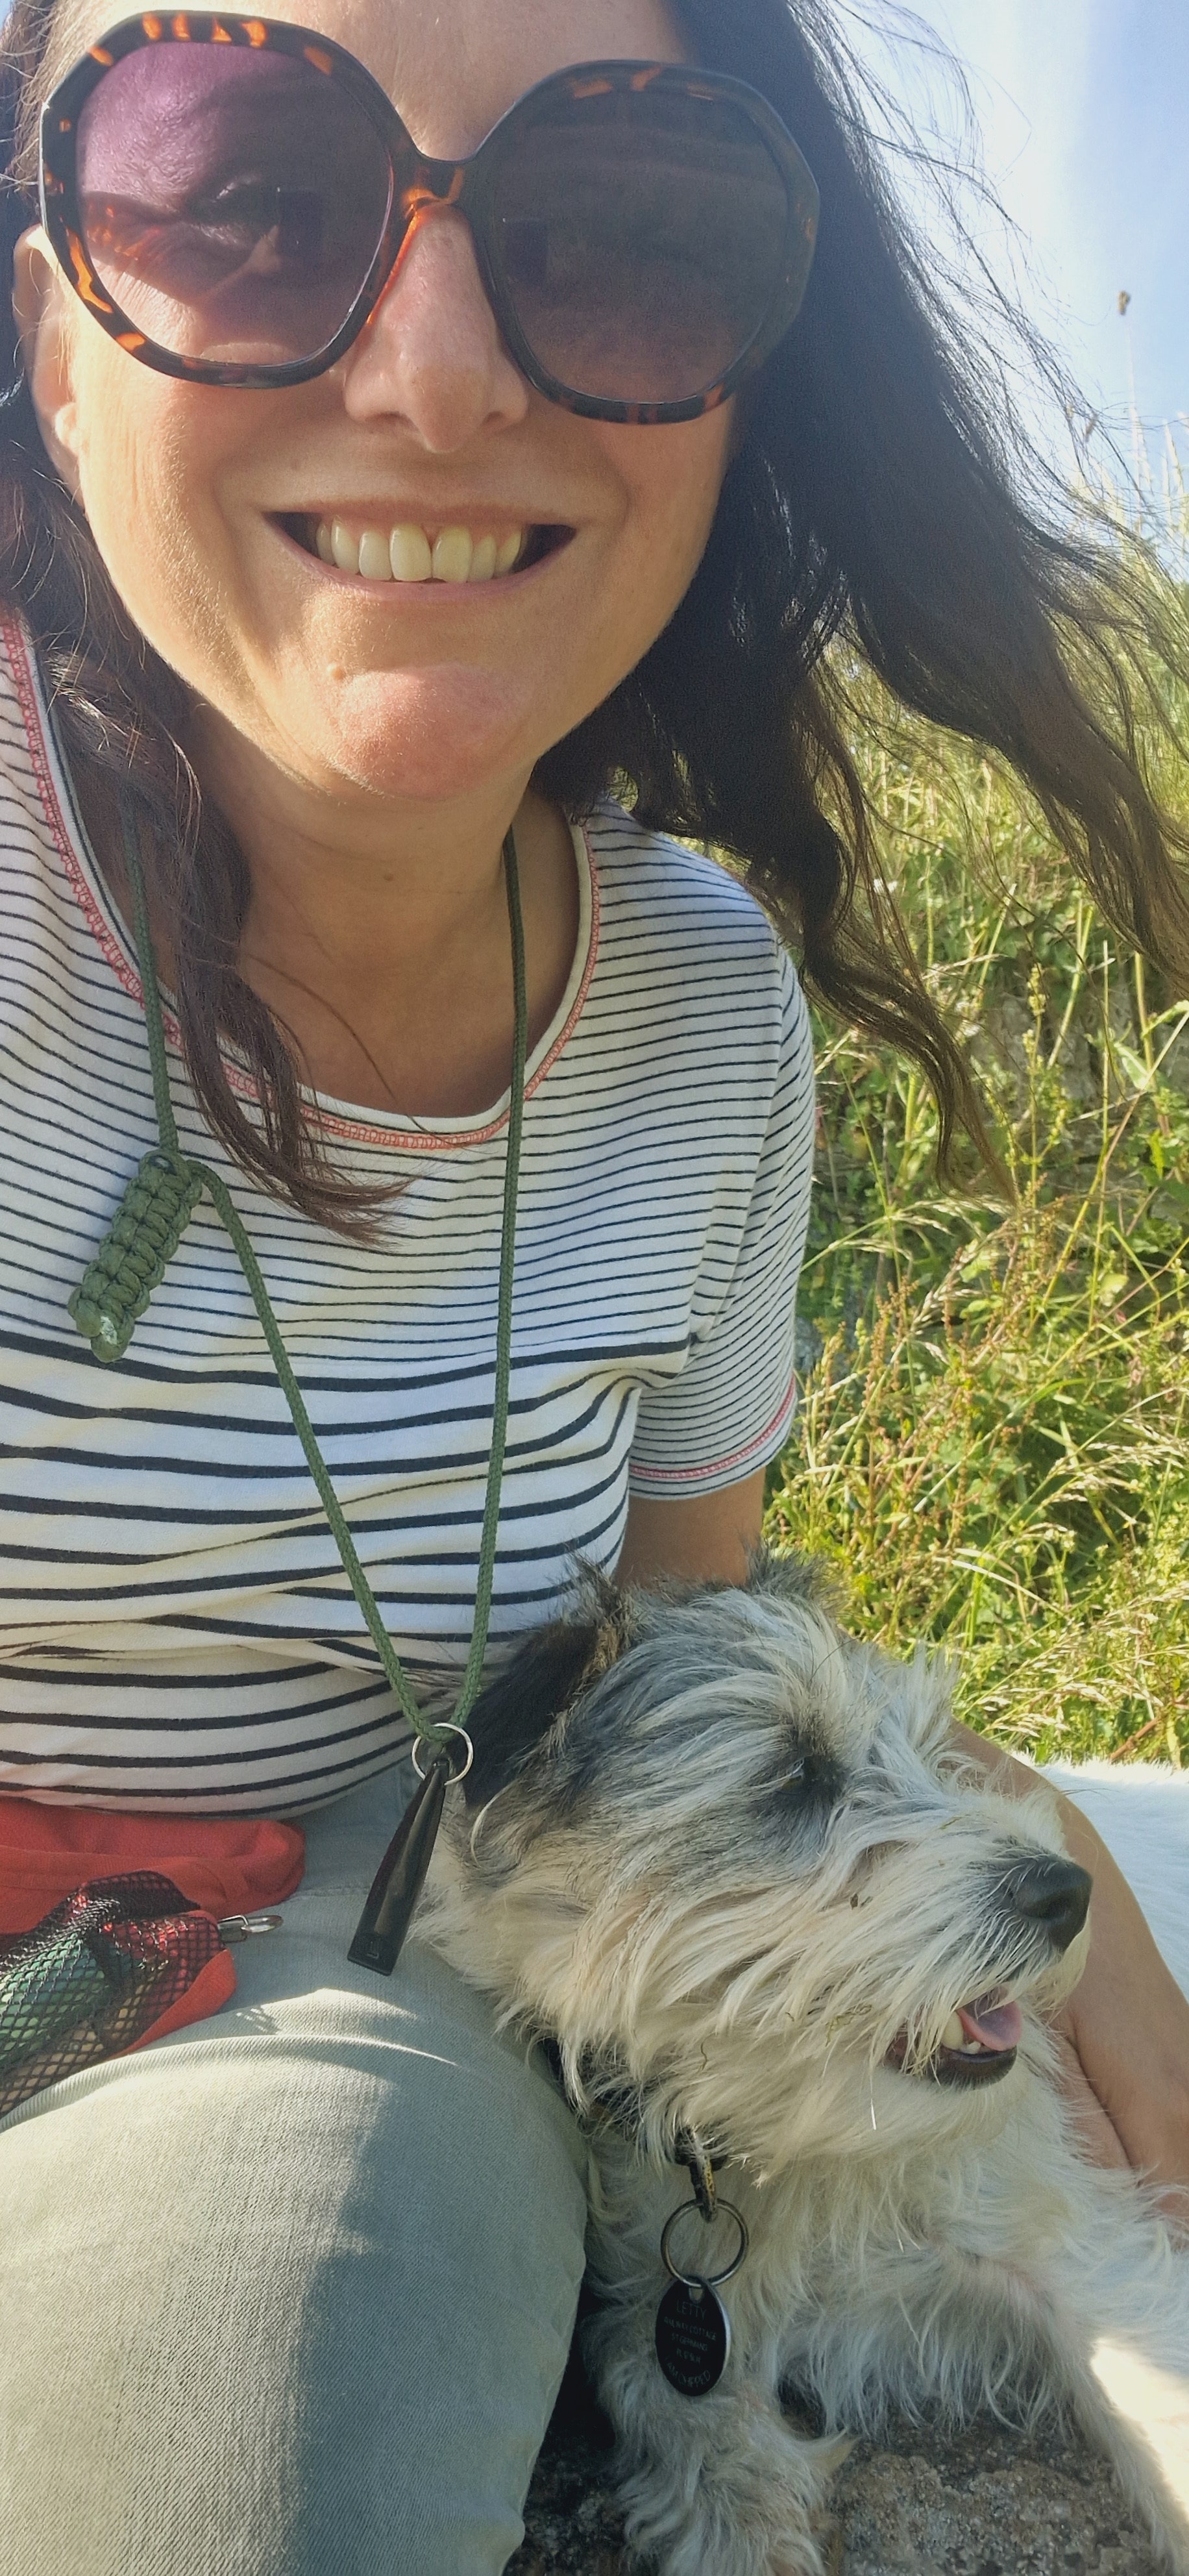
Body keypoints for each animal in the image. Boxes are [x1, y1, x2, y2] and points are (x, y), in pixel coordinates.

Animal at [419, 1555, 1189, 2576]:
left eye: (930, 1752)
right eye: (795, 1772)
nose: (1068, 1892)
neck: (803, 2147)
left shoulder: (1098, 2262)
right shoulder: (662, 2295)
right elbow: (648, 2373)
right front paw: (743, 2507)